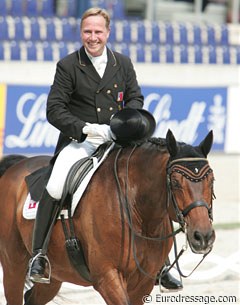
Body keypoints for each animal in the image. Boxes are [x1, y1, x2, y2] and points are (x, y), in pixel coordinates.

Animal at [0, 129, 216, 302]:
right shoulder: (107, 277)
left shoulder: (143, 282)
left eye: (212, 180)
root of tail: (17, 165)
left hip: (54, 276)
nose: (203, 237)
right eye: (176, 183)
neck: (139, 213)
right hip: (13, 266)